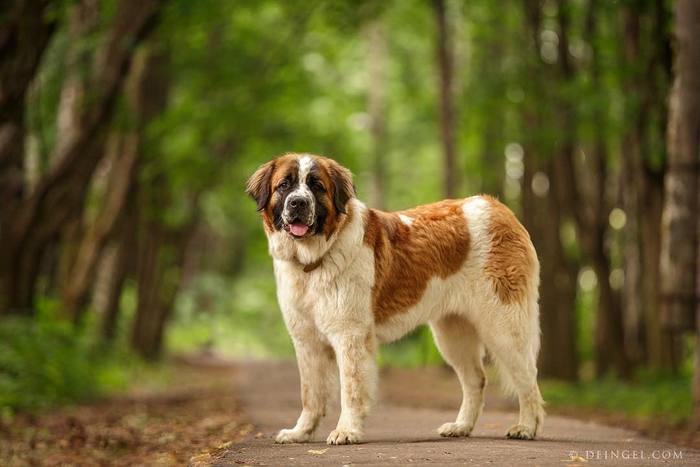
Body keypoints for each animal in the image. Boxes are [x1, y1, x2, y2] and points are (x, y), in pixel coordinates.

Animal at [247, 153, 548, 446]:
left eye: (316, 186)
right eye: (284, 185)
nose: (298, 202)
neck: (314, 260)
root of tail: (498, 208)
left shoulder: (350, 336)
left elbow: (351, 389)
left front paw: (346, 431)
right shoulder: (306, 341)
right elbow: (310, 394)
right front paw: (301, 433)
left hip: (504, 328)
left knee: (528, 378)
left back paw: (526, 427)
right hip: (453, 334)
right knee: (476, 379)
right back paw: (461, 427)